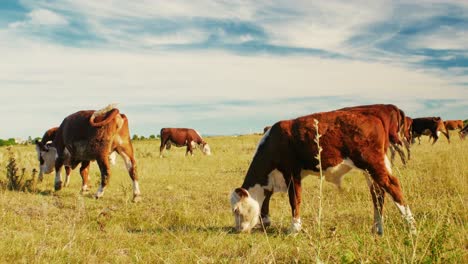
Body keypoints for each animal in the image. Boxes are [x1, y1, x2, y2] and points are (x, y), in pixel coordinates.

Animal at [230, 109, 416, 235]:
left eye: (236, 210)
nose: (238, 230)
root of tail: (374, 113)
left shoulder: (292, 173)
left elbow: (294, 200)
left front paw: (294, 228)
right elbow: (266, 200)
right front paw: (266, 221)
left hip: (372, 163)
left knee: (392, 185)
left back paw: (411, 226)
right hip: (372, 167)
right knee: (377, 193)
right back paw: (378, 228)